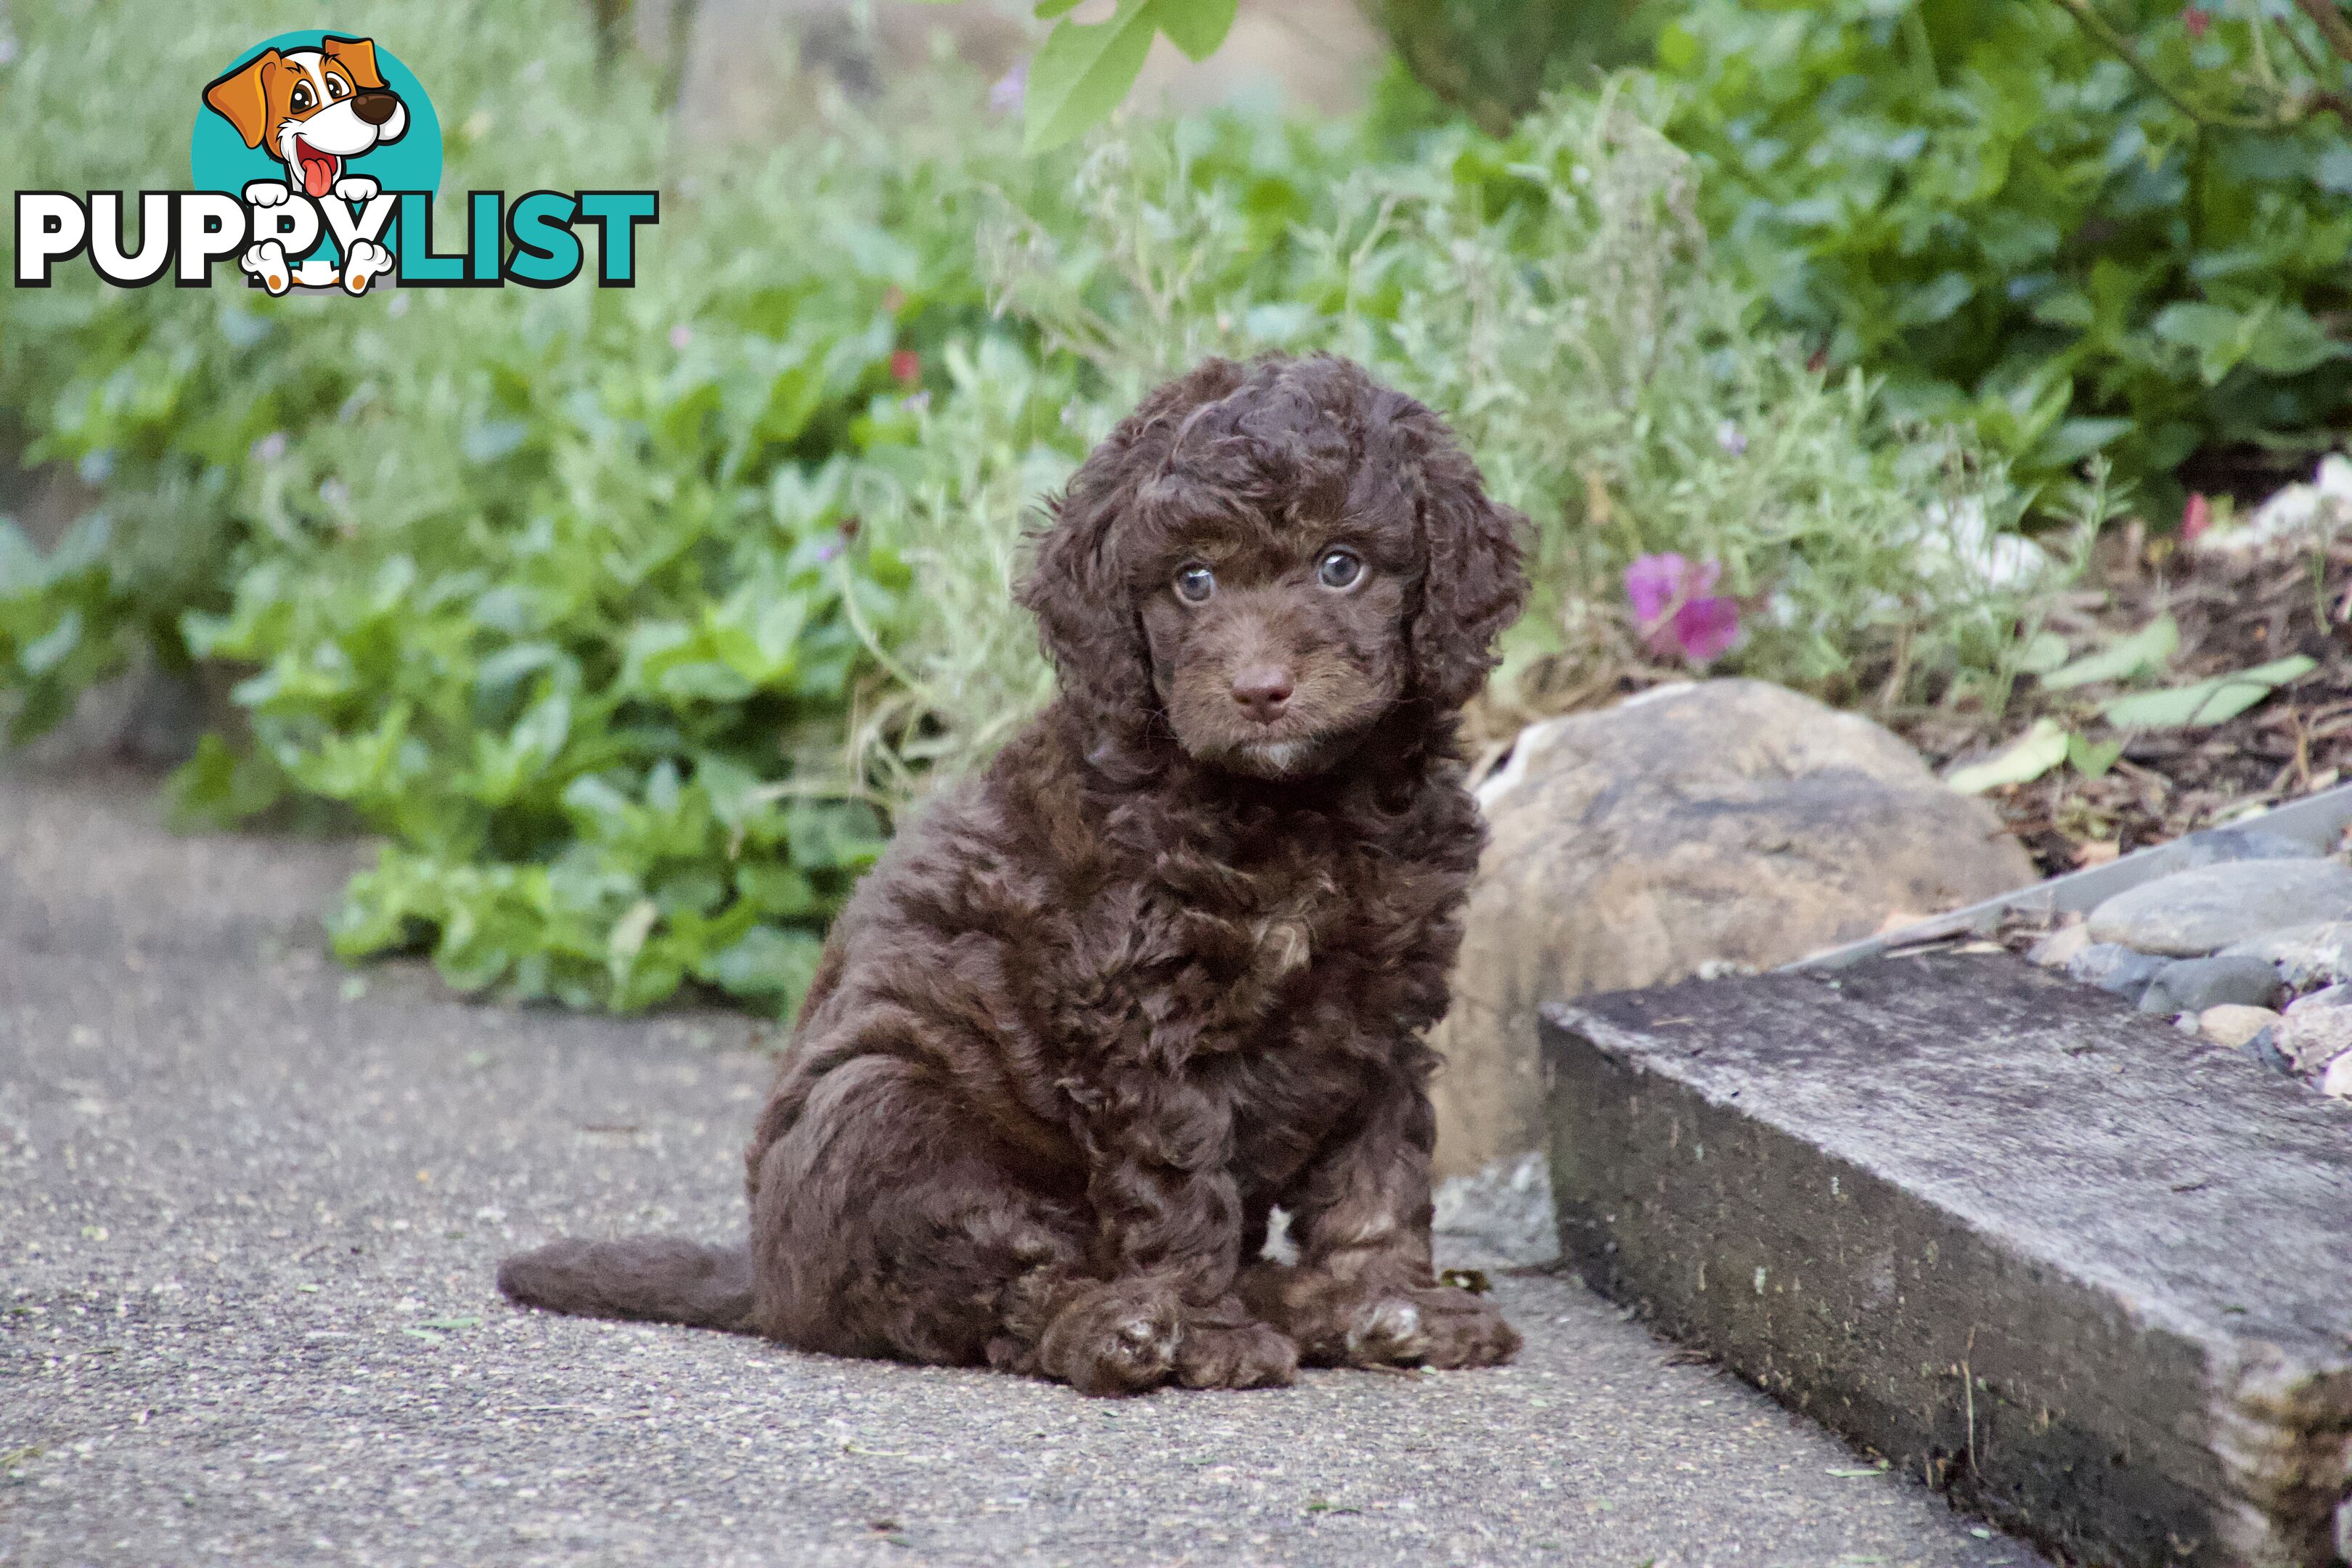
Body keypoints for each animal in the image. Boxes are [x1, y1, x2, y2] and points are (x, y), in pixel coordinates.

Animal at [496, 350, 1524, 1392]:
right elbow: (1179, 1188)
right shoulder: (1135, 1017)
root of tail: (768, 1283)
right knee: (1001, 1291)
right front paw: (1208, 1331)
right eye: (1192, 582)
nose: (1260, 692)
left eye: (1340, 566)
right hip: (884, 1110)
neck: (1298, 807)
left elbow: (1379, 1172)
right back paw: (1125, 1331)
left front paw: (1387, 1300)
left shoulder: (1384, 1005)